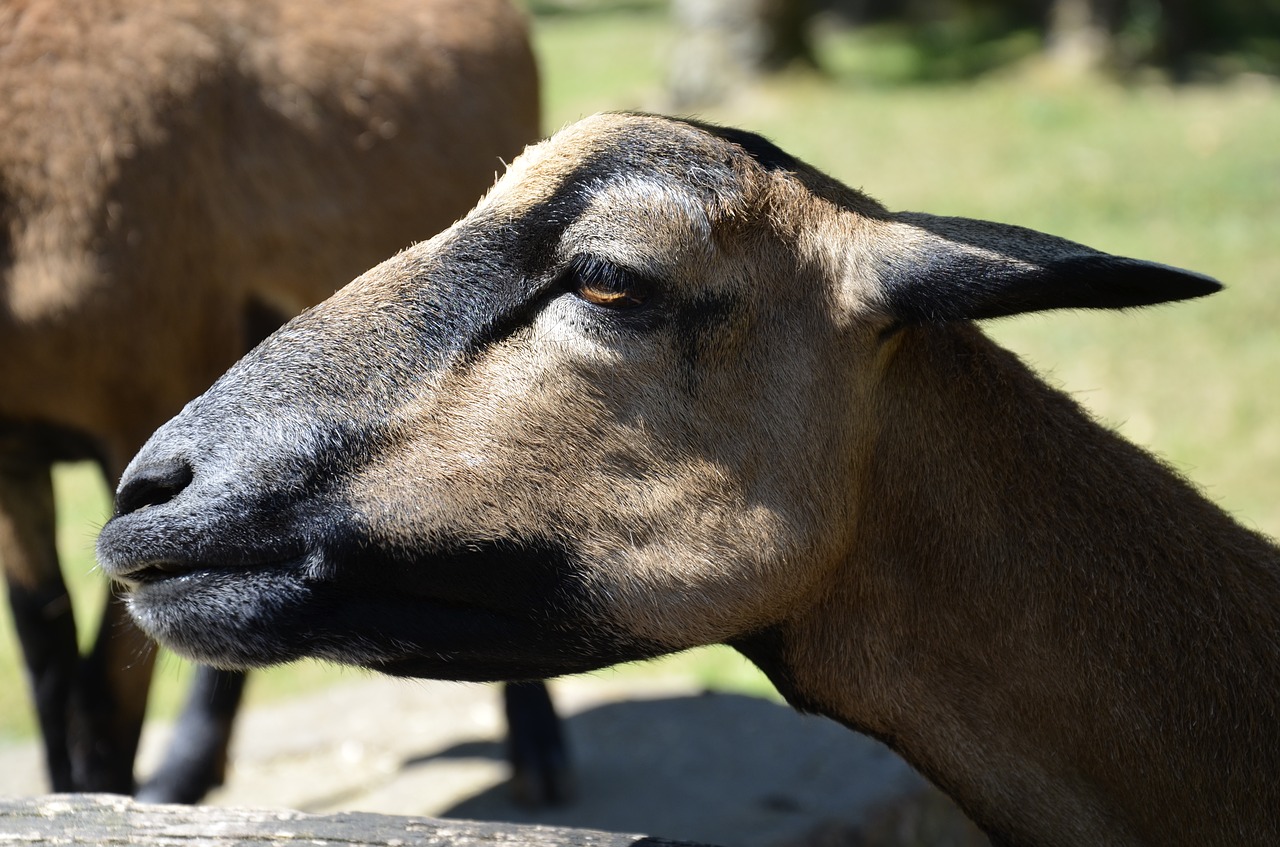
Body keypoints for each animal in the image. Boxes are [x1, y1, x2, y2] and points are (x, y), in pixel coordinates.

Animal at [0, 0, 568, 808]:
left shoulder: (147, 394)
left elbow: (104, 681)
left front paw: (100, 802)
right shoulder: (15, 454)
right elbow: (44, 654)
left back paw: (539, 757)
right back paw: (185, 774)